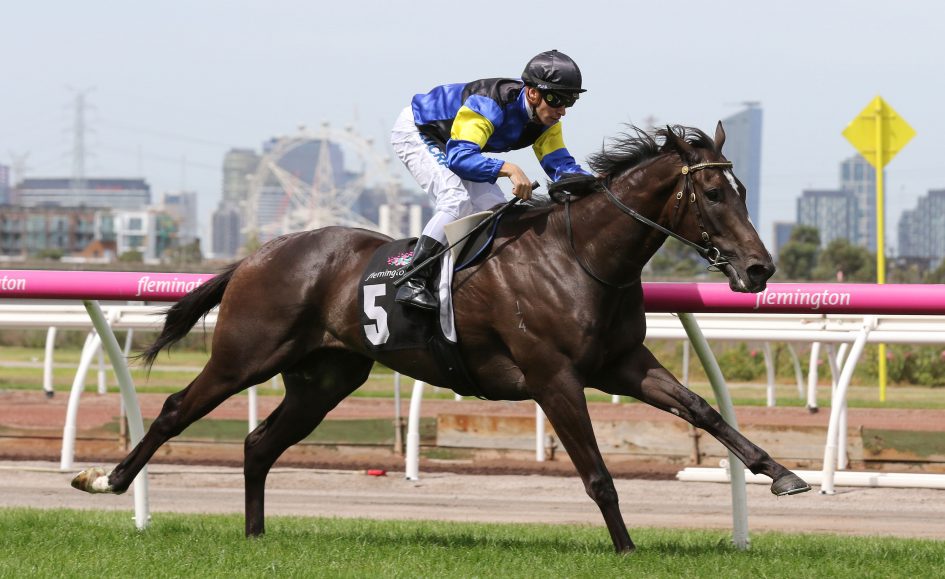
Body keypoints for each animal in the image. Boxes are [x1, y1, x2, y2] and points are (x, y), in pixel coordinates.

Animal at [72, 123, 810, 554]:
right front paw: (626, 549)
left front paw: (783, 474)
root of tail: (258, 254)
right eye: (712, 193)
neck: (580, 255)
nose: (759, 268)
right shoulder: (554, 378)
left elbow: (703, 408)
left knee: (259, 442)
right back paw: (107, 479)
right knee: (176, 410)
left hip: (325, 377)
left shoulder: (623, 364)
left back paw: (255, 536)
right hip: (243, 356)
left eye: (743, 191)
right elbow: (597, 473)